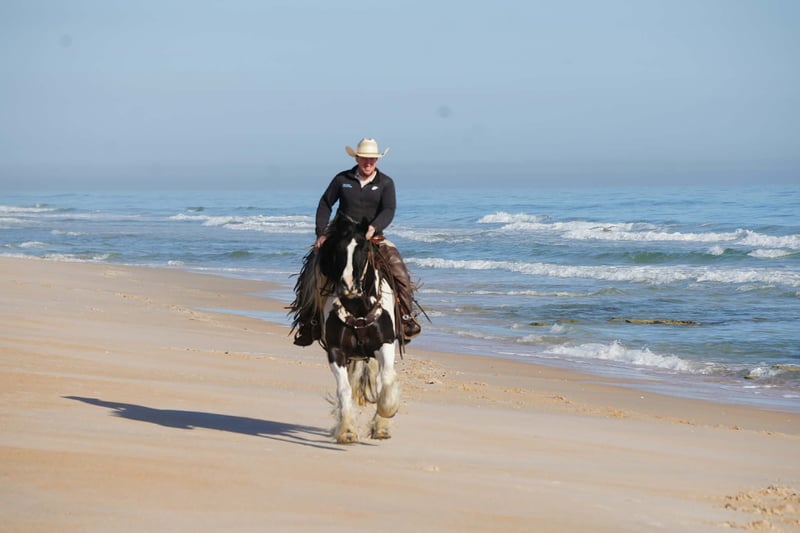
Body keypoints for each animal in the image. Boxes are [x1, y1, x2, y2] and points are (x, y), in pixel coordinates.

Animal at [296, 215, 401, 443]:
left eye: (363, 247)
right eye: (338, 248)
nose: (348, 285)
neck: (359, 307)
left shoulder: (385, 343)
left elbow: (387, 378)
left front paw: (386, 415)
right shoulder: (337, 351)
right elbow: (344, 389)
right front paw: (347, 431)